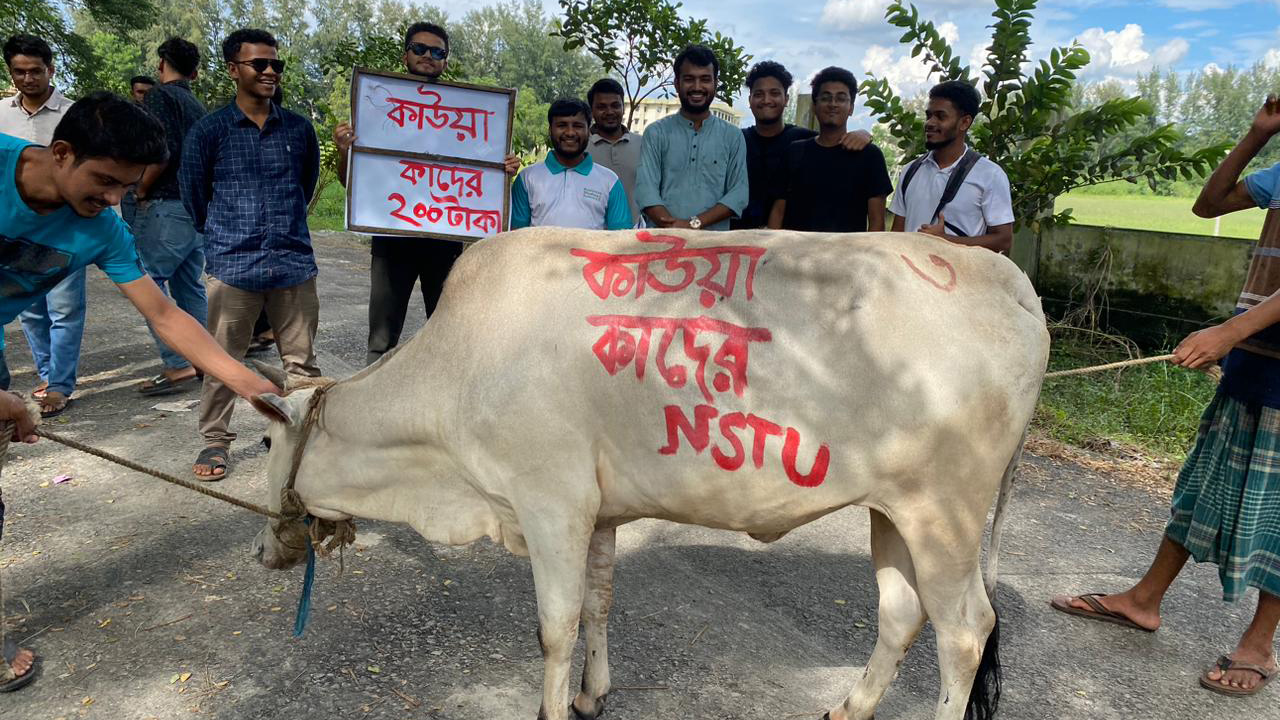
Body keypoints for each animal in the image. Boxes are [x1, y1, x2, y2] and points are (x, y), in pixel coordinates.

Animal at [249, 228, 1049, 717]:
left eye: (262, 443)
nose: (262, 549)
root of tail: (1004, 276)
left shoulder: (551, 504)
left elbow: (555, 626)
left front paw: (553, 703)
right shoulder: (600, 511)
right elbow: (598, 605)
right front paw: (591, 695)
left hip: (945, 515)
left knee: (965, 631)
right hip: (893, 512)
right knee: (901, 613)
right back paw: (847, 706)